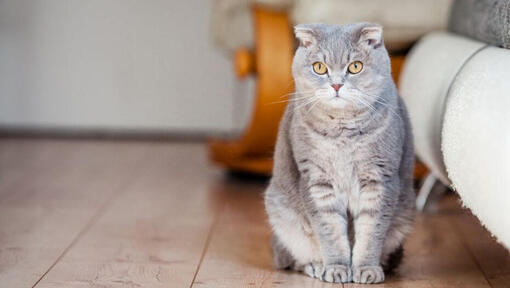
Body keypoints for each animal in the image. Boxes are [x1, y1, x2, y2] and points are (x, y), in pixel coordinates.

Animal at [264, 22, 416, 284]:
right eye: (319, 67)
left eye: (355, 66)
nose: (336, 85)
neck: (343, 132)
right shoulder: (317, 181)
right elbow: (331, 232)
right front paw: (336, 268)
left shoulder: (379, 179)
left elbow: (370, 233)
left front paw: (366, 269)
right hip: (283, 215)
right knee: (294, 257)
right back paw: (315, 265)